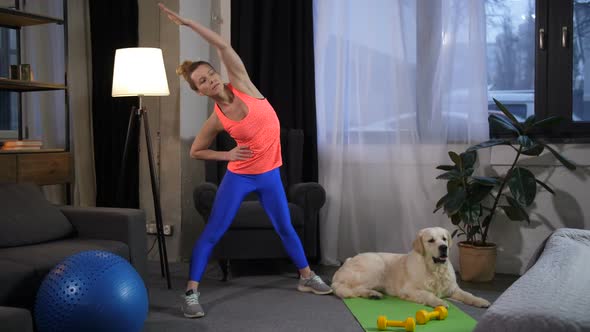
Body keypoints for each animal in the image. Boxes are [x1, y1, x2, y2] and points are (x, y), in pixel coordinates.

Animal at [332, 227, 490, 308]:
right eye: (431, 240)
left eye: (444, 239)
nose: (444, 248)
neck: (435, 271)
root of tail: (348, 260)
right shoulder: (409, 289)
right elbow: (428, 294)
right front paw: (439, 302)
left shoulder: (452, 288)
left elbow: (467, 295)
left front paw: (481, 301)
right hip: (376, 265)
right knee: (352, 289)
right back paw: (372, 294)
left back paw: (373, 294)